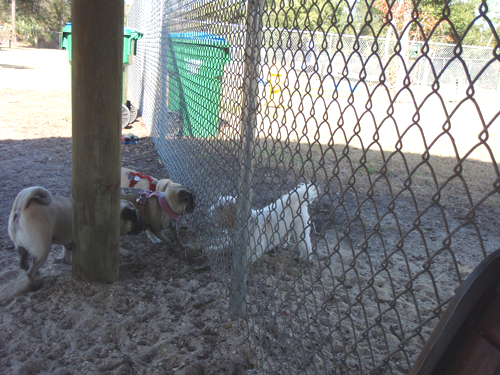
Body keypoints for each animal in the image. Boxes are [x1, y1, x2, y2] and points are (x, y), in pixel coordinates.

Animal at [8, 187, 145, 290]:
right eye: (136, 219)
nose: (141, 225)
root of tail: (20, 209)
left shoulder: (69, 241)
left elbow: (67, 252)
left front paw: (69, 261)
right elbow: (119, 249)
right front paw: (128, 253)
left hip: (23, 248)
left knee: (23, 263)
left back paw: (35, 273)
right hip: (43, 249)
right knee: (30, 272)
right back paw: (35, 285)